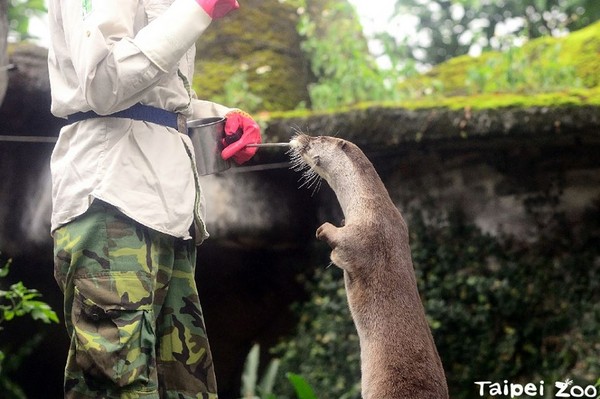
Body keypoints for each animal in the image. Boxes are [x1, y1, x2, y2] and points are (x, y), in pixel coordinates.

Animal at [288, 135, 448, 399]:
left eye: (318, 138)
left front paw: (324, 229)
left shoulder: (367, 233)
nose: (300, 137)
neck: (370, 203)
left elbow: (343, 247)